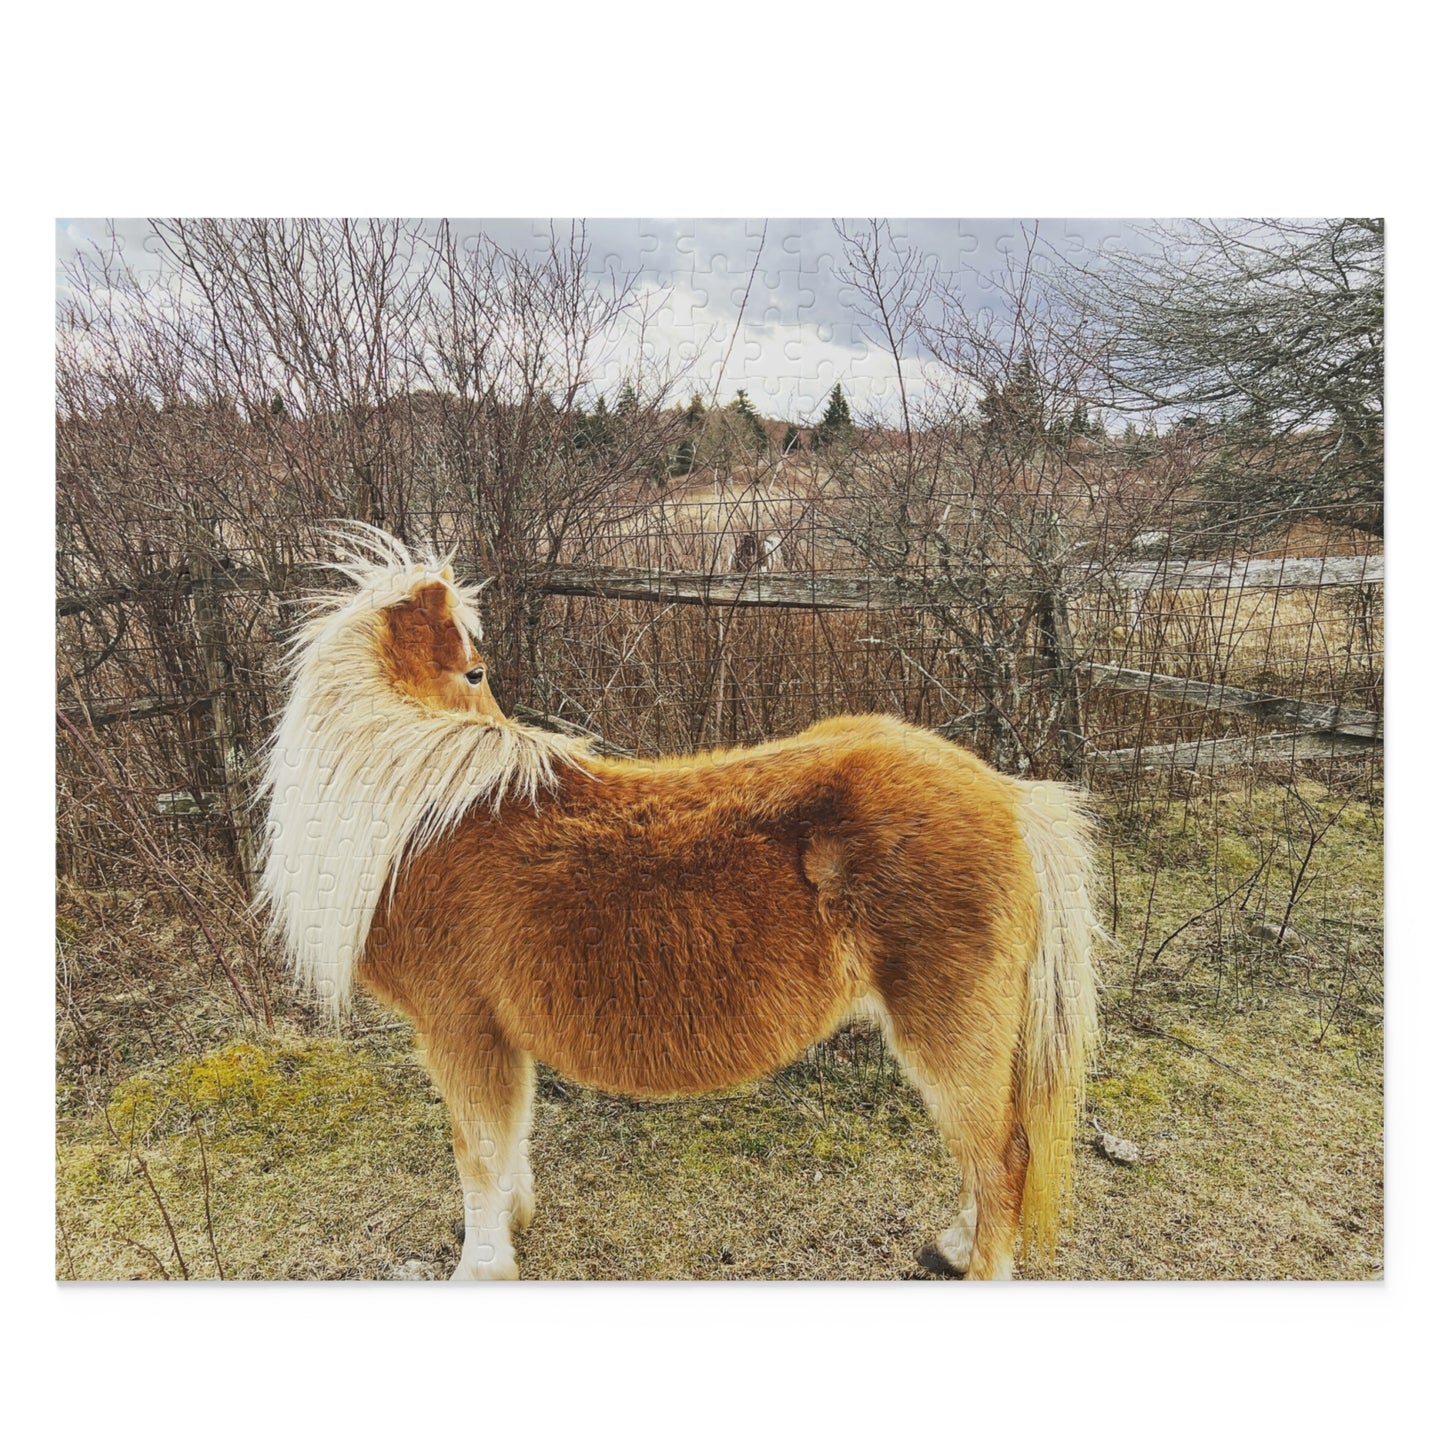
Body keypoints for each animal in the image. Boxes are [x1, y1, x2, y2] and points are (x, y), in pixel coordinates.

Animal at [258, 527, 1099, 1280]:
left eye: (474, 669)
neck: (424, 816)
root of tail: (1007, 793)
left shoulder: (458, 1027)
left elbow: (477, 1152)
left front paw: (482, 1266)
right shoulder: (495, 1033)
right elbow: (509, 1139)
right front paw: (515, 1222)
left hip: (949, 1028)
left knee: (1001, 1157)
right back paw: (952, 1245)